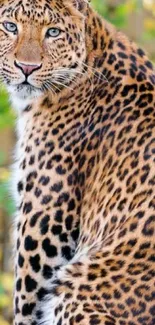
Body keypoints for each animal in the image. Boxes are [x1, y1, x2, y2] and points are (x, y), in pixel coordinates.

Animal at [0, 0, 155, 322]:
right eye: (9, 26)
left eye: (53, 32)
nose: (27, 68)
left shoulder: (44, 222)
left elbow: (26, 303)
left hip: (75, 290)